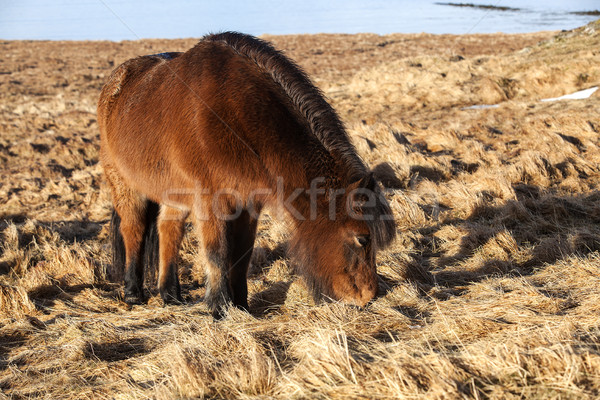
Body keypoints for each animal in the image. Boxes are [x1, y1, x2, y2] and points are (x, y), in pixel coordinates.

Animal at [98, 31, 396, 318]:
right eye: (362, 238)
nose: (368, 296)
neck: (238, 115)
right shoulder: (211, 200)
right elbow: (217, 252)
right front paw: (219, 307)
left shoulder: (249, 202)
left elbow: (242, 251)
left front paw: (240, 305)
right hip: (124, 185)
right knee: (134, 230)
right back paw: (133, 293)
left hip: (173, 193)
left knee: (168, 229)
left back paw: (170, 294)